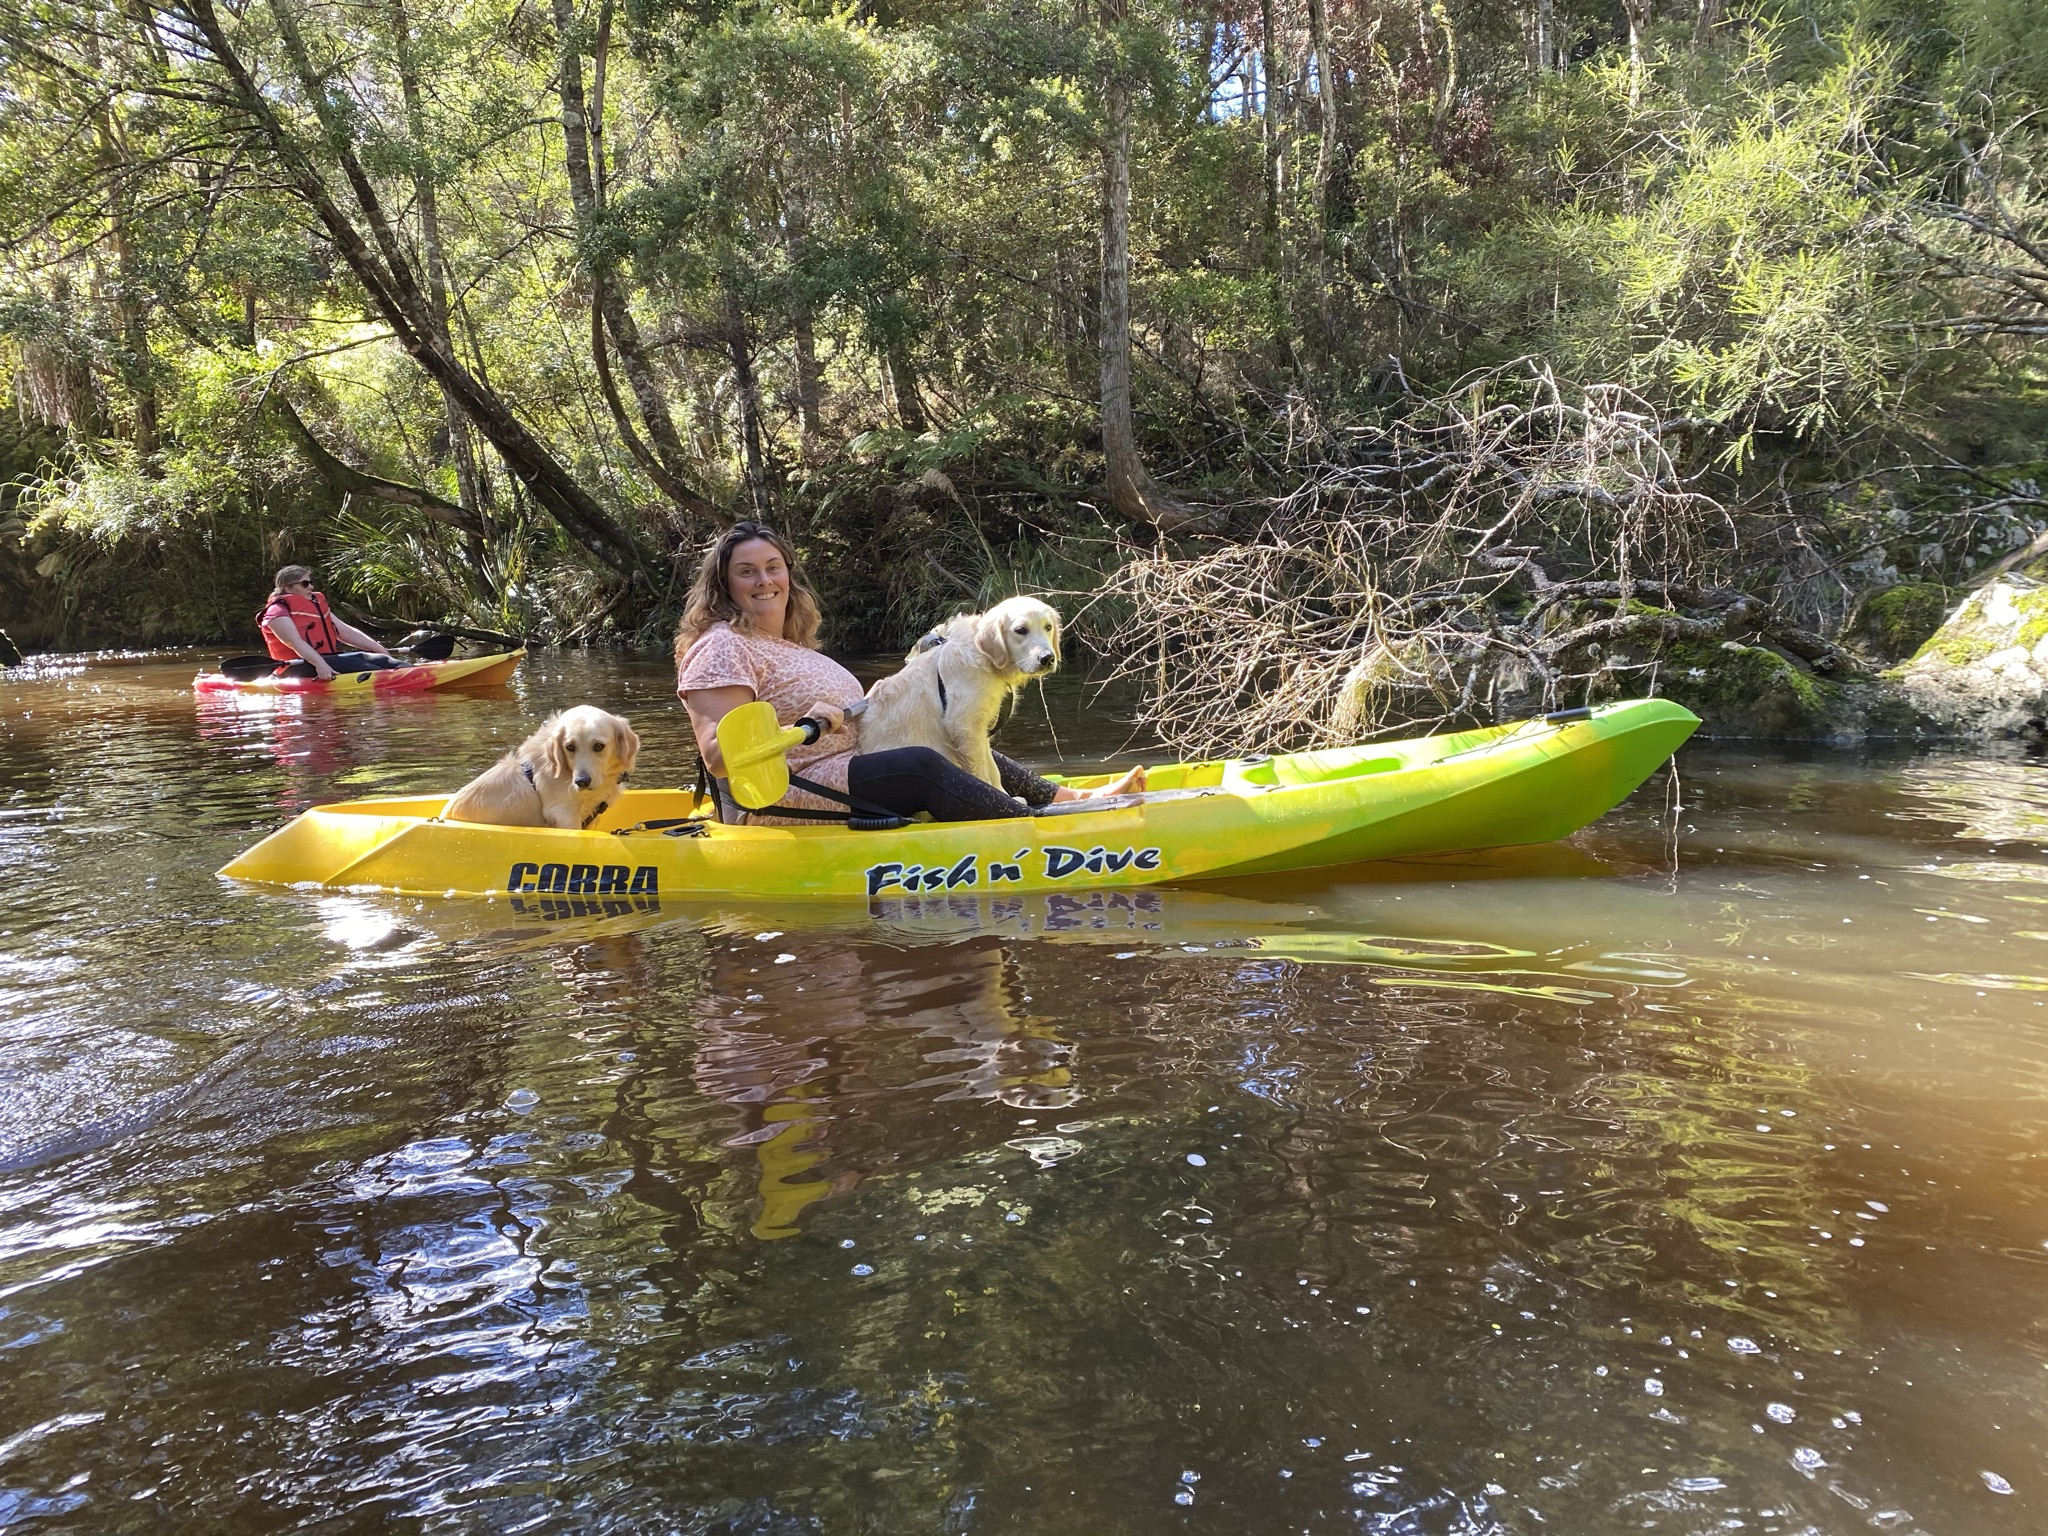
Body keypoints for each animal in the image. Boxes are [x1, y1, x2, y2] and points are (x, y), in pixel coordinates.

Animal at [856, 593, 1064, 786]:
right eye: (1020, 630)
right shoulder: (964, 727)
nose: (1047, 658)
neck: (983, 658)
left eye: (1048, 627)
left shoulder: (980, 729)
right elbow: (981, 774)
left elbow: (994, 771)